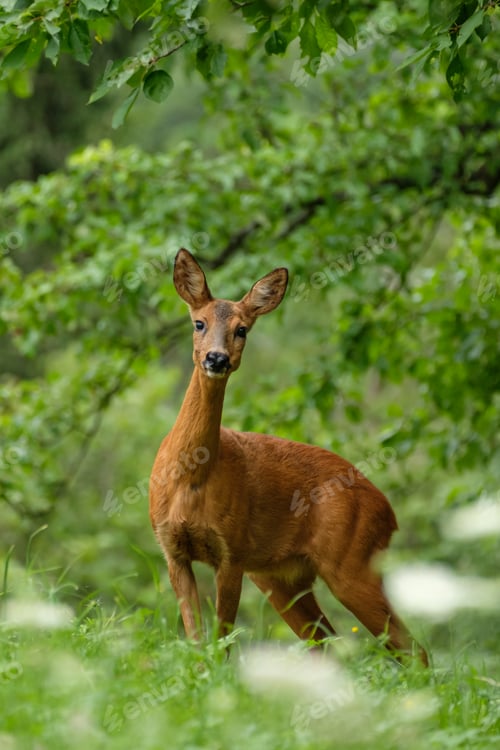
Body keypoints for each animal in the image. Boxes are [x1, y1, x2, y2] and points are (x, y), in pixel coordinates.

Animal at [149, 248, 428, 665]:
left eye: (242, 329)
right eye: (199, 323)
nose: (216, 359)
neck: (191, 479)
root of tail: (388, 513)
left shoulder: (233, 551)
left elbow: (222, 641)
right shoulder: (172, 549)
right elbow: (198, 641)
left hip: (351, 562)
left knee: (412, 648)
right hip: (282, 578)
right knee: (329, 644)